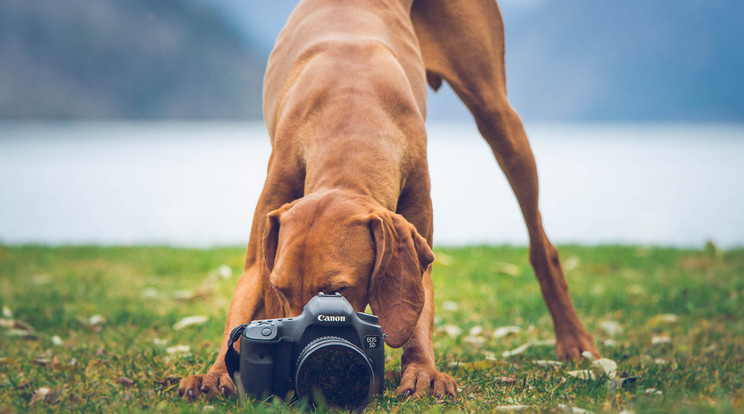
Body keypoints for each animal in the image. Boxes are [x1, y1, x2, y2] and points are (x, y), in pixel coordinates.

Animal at [179, 0, 600, 402]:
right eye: (281, 289)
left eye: (337, 290)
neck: (350, 122)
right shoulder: (264, 243)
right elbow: (244, 298)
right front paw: (215, 374)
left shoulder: (416, 231)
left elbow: (418, 307)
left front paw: (423, 370)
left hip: (499, 117)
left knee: (541, 245)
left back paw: (574, 341)